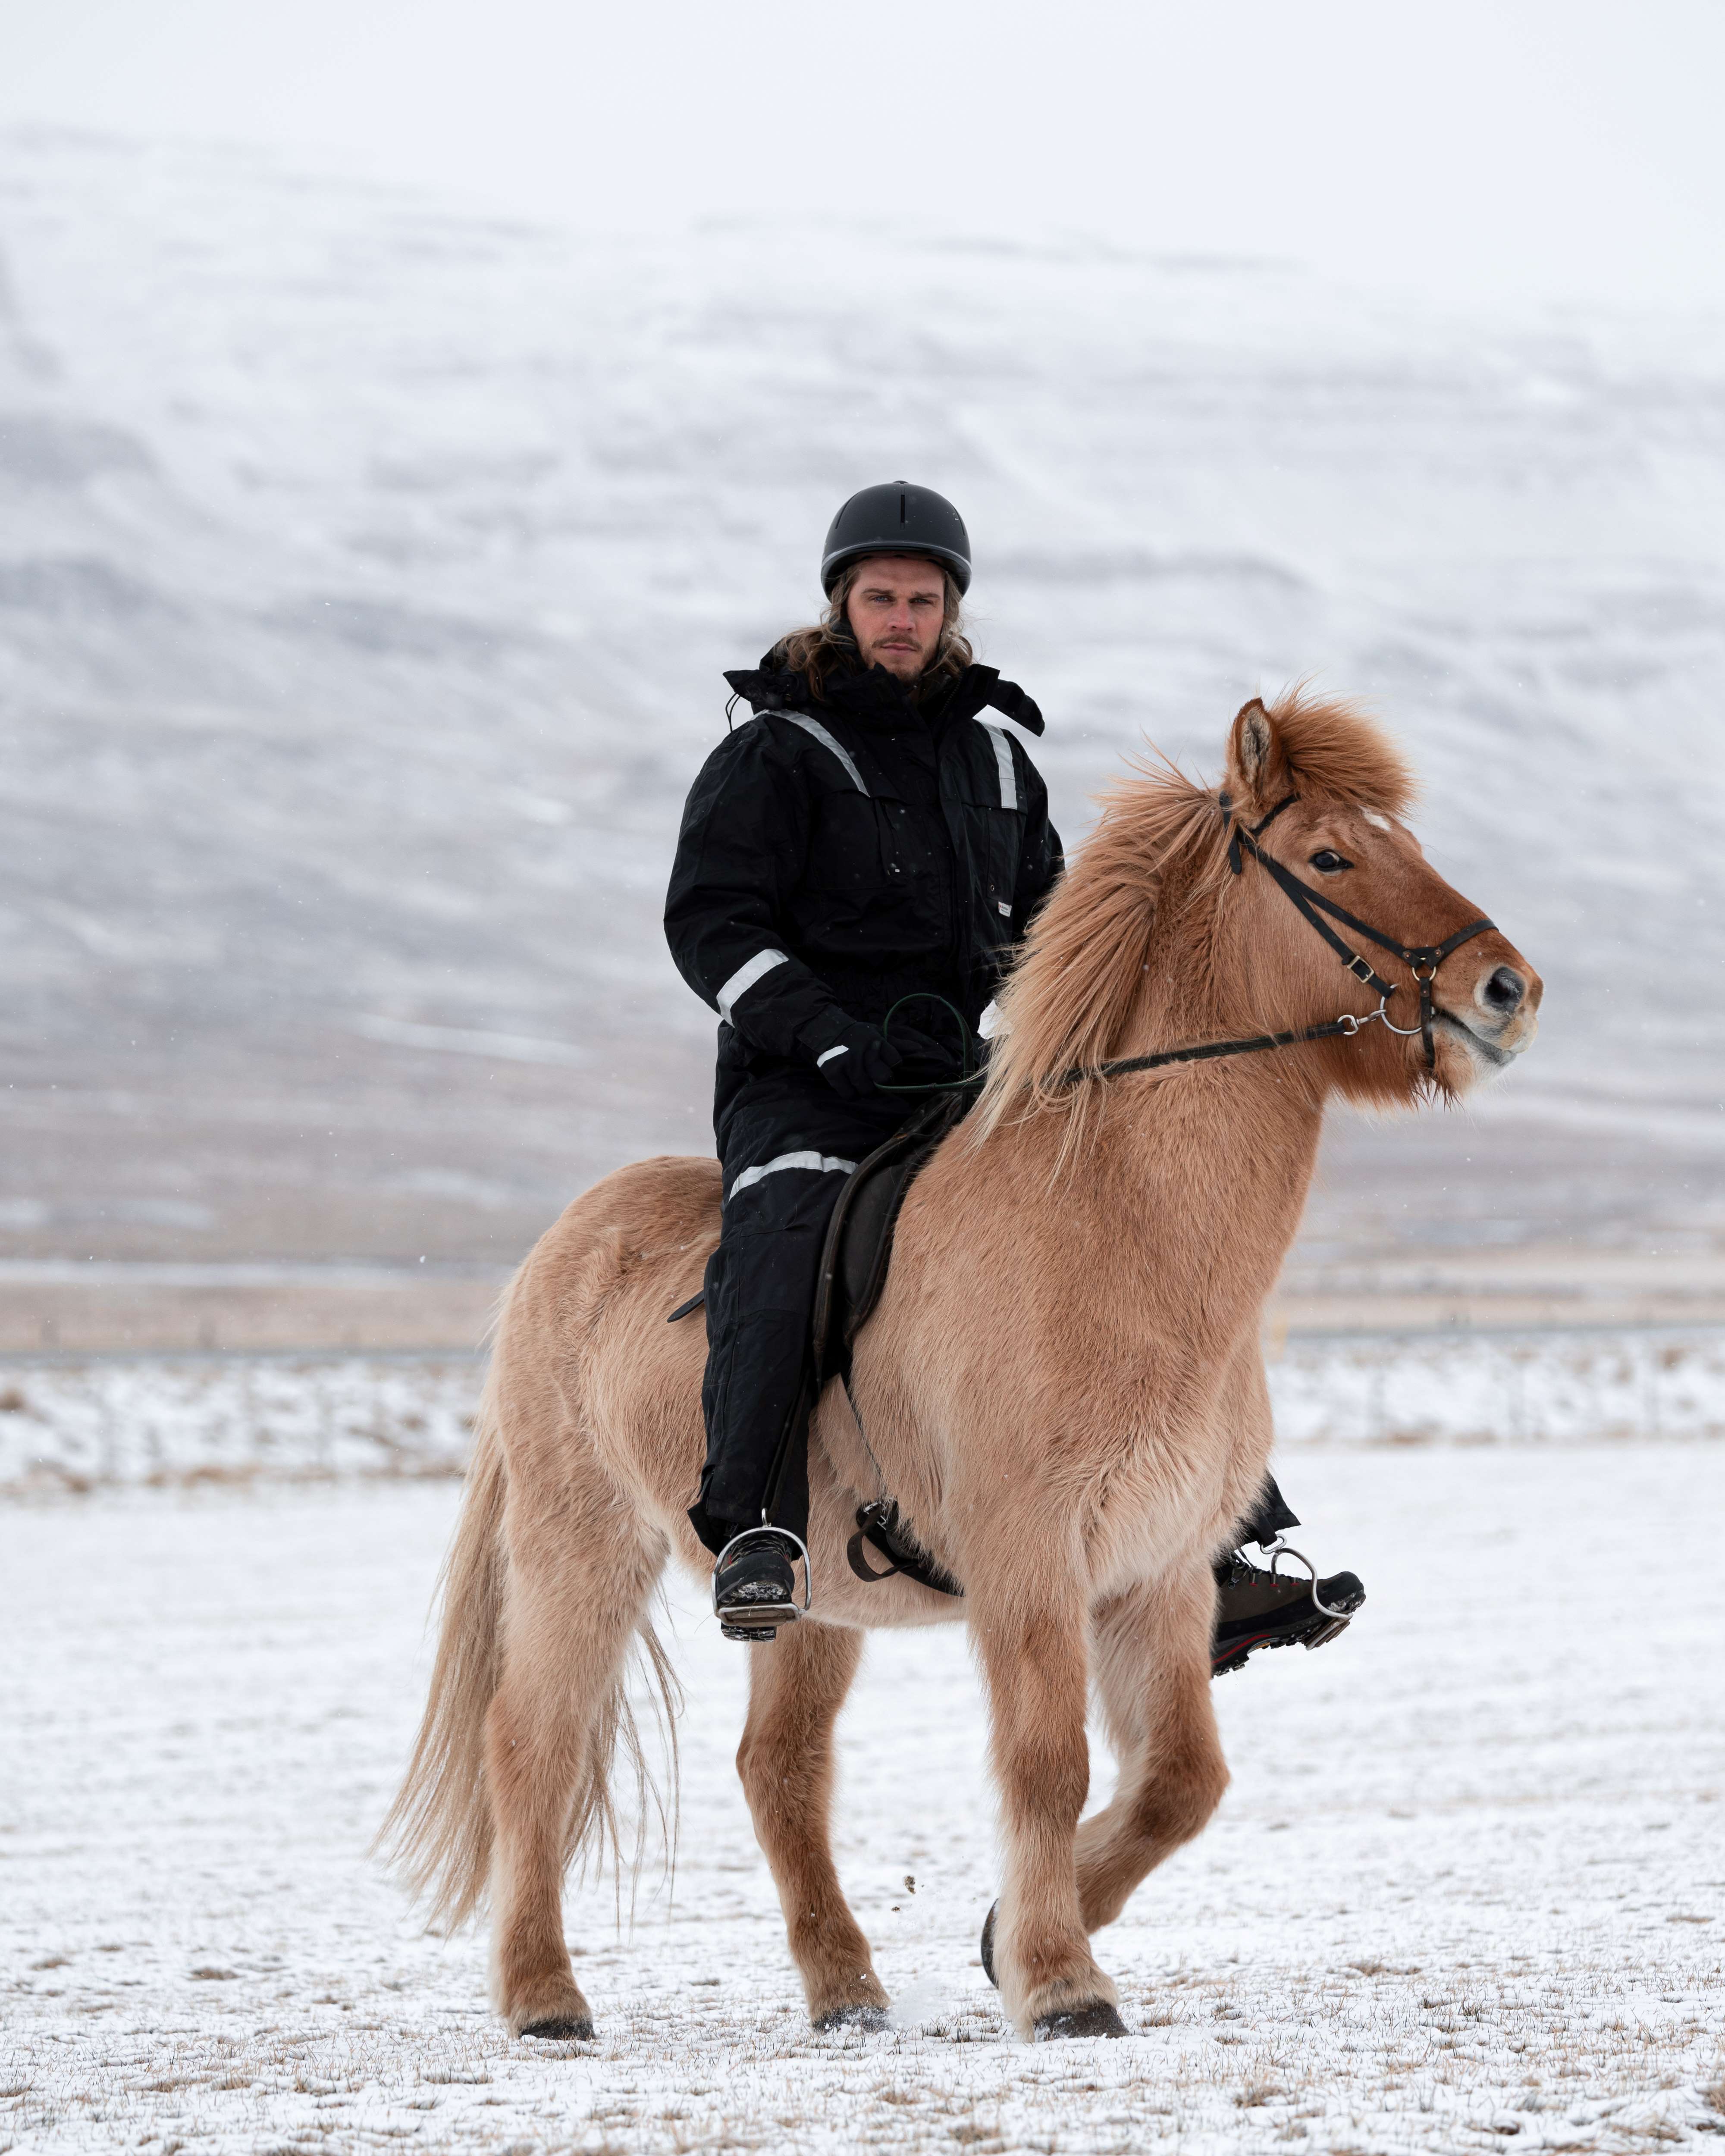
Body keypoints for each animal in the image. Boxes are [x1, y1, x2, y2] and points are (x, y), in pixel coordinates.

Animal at [384, 686, 1544, 2035]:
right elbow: (1048, 1762)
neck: (1109, 1229)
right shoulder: (1028, 1556)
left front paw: (1014, 1938)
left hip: (808, 1602)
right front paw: (1059, 1982)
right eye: (1329, 859)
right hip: (583, 1550)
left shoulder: (1159, 1570)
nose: (1507, 988)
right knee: (535, 1747)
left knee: (778, 1767)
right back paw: (544, 1996)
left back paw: (846, 1989)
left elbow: (1183, 1779)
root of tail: (563, 1241)